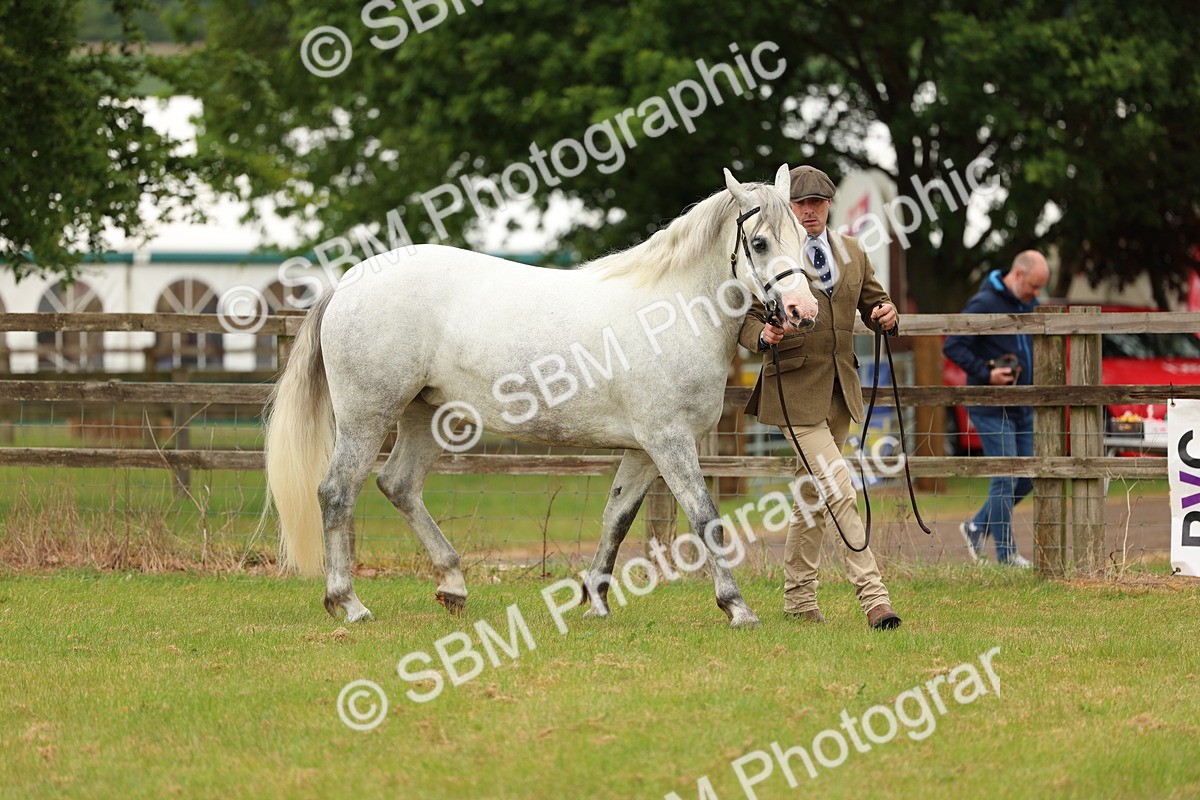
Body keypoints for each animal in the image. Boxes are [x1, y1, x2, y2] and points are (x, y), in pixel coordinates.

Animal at [263, 164, 818, 628]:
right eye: (760, 242)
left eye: (804, 238)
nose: (802, 311)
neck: (670, 312)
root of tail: (348, 284)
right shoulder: (669, 440)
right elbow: (706, 520)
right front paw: (737, 607)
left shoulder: (644, 449)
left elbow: (616, 519)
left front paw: (596, 601)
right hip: (367, 416)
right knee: (337, 492)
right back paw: (348, 603)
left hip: (428, 414)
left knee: (398, 485)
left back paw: (453, 586)